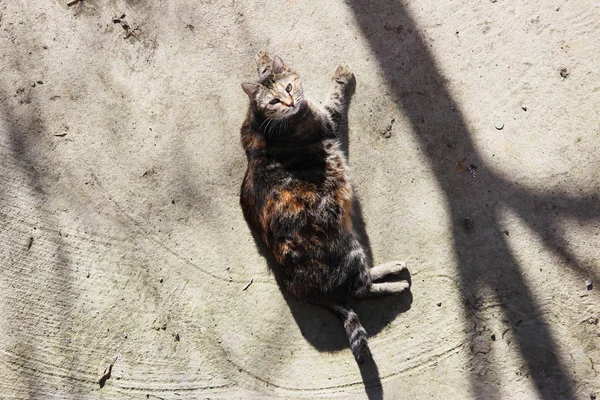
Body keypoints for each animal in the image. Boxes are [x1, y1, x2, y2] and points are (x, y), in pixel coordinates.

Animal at [239, 51, 412, 364]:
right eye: (274, 101)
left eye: (289, 88)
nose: (291, 102)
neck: (261, 119)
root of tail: (294, 285)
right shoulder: (328, 120)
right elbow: (335, 98)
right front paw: (341, 75)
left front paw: (264, 59)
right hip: (346, 244)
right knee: (359, 288)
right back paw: (395, 282)